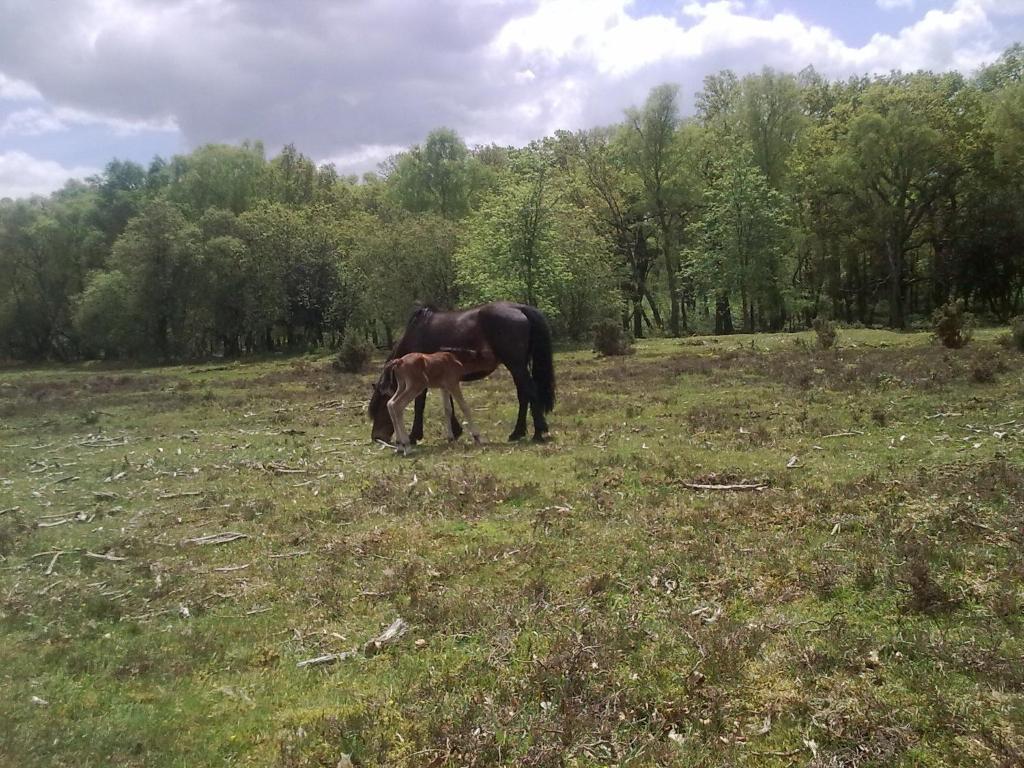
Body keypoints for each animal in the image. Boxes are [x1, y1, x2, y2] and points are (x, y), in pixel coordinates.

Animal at [372, 303, 557, 444]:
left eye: (378, 408)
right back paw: (517, 433)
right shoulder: (444, 378)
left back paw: (538, 432)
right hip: (518, 366)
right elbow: (449, 405)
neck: (417, 333)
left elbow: (420, 405)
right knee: (523, 395)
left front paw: (414, 436)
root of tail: (519, 307)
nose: (376, 437)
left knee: (531, 392)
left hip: (516, 365)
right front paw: (455, 430)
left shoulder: (422, 381)